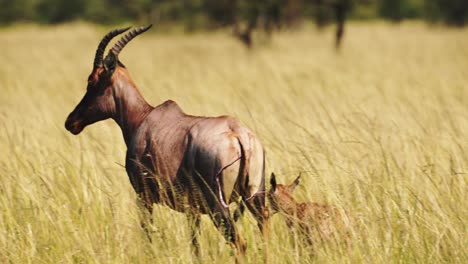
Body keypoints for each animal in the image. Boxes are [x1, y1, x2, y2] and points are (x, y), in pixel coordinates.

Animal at [64, 24, 268, 254]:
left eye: (92, 81)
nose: (71, 122)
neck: (144, 117)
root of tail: (238, 134)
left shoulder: (143, 197)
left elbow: (147, 235)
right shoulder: (192, 210)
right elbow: (195, 246)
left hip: (219, 206)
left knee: (239, 243)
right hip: (256, 198)